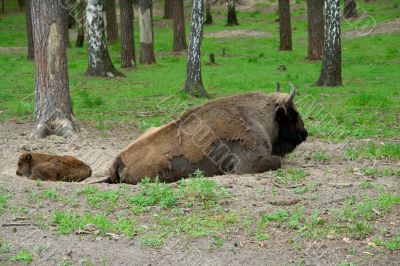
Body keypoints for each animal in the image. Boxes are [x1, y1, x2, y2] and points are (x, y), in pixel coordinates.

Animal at [105, 84, 306, 184]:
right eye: (292, 113)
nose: (305, 133)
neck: (259, 116)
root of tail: (117, 160)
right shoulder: (247, 165)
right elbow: (277, 161)